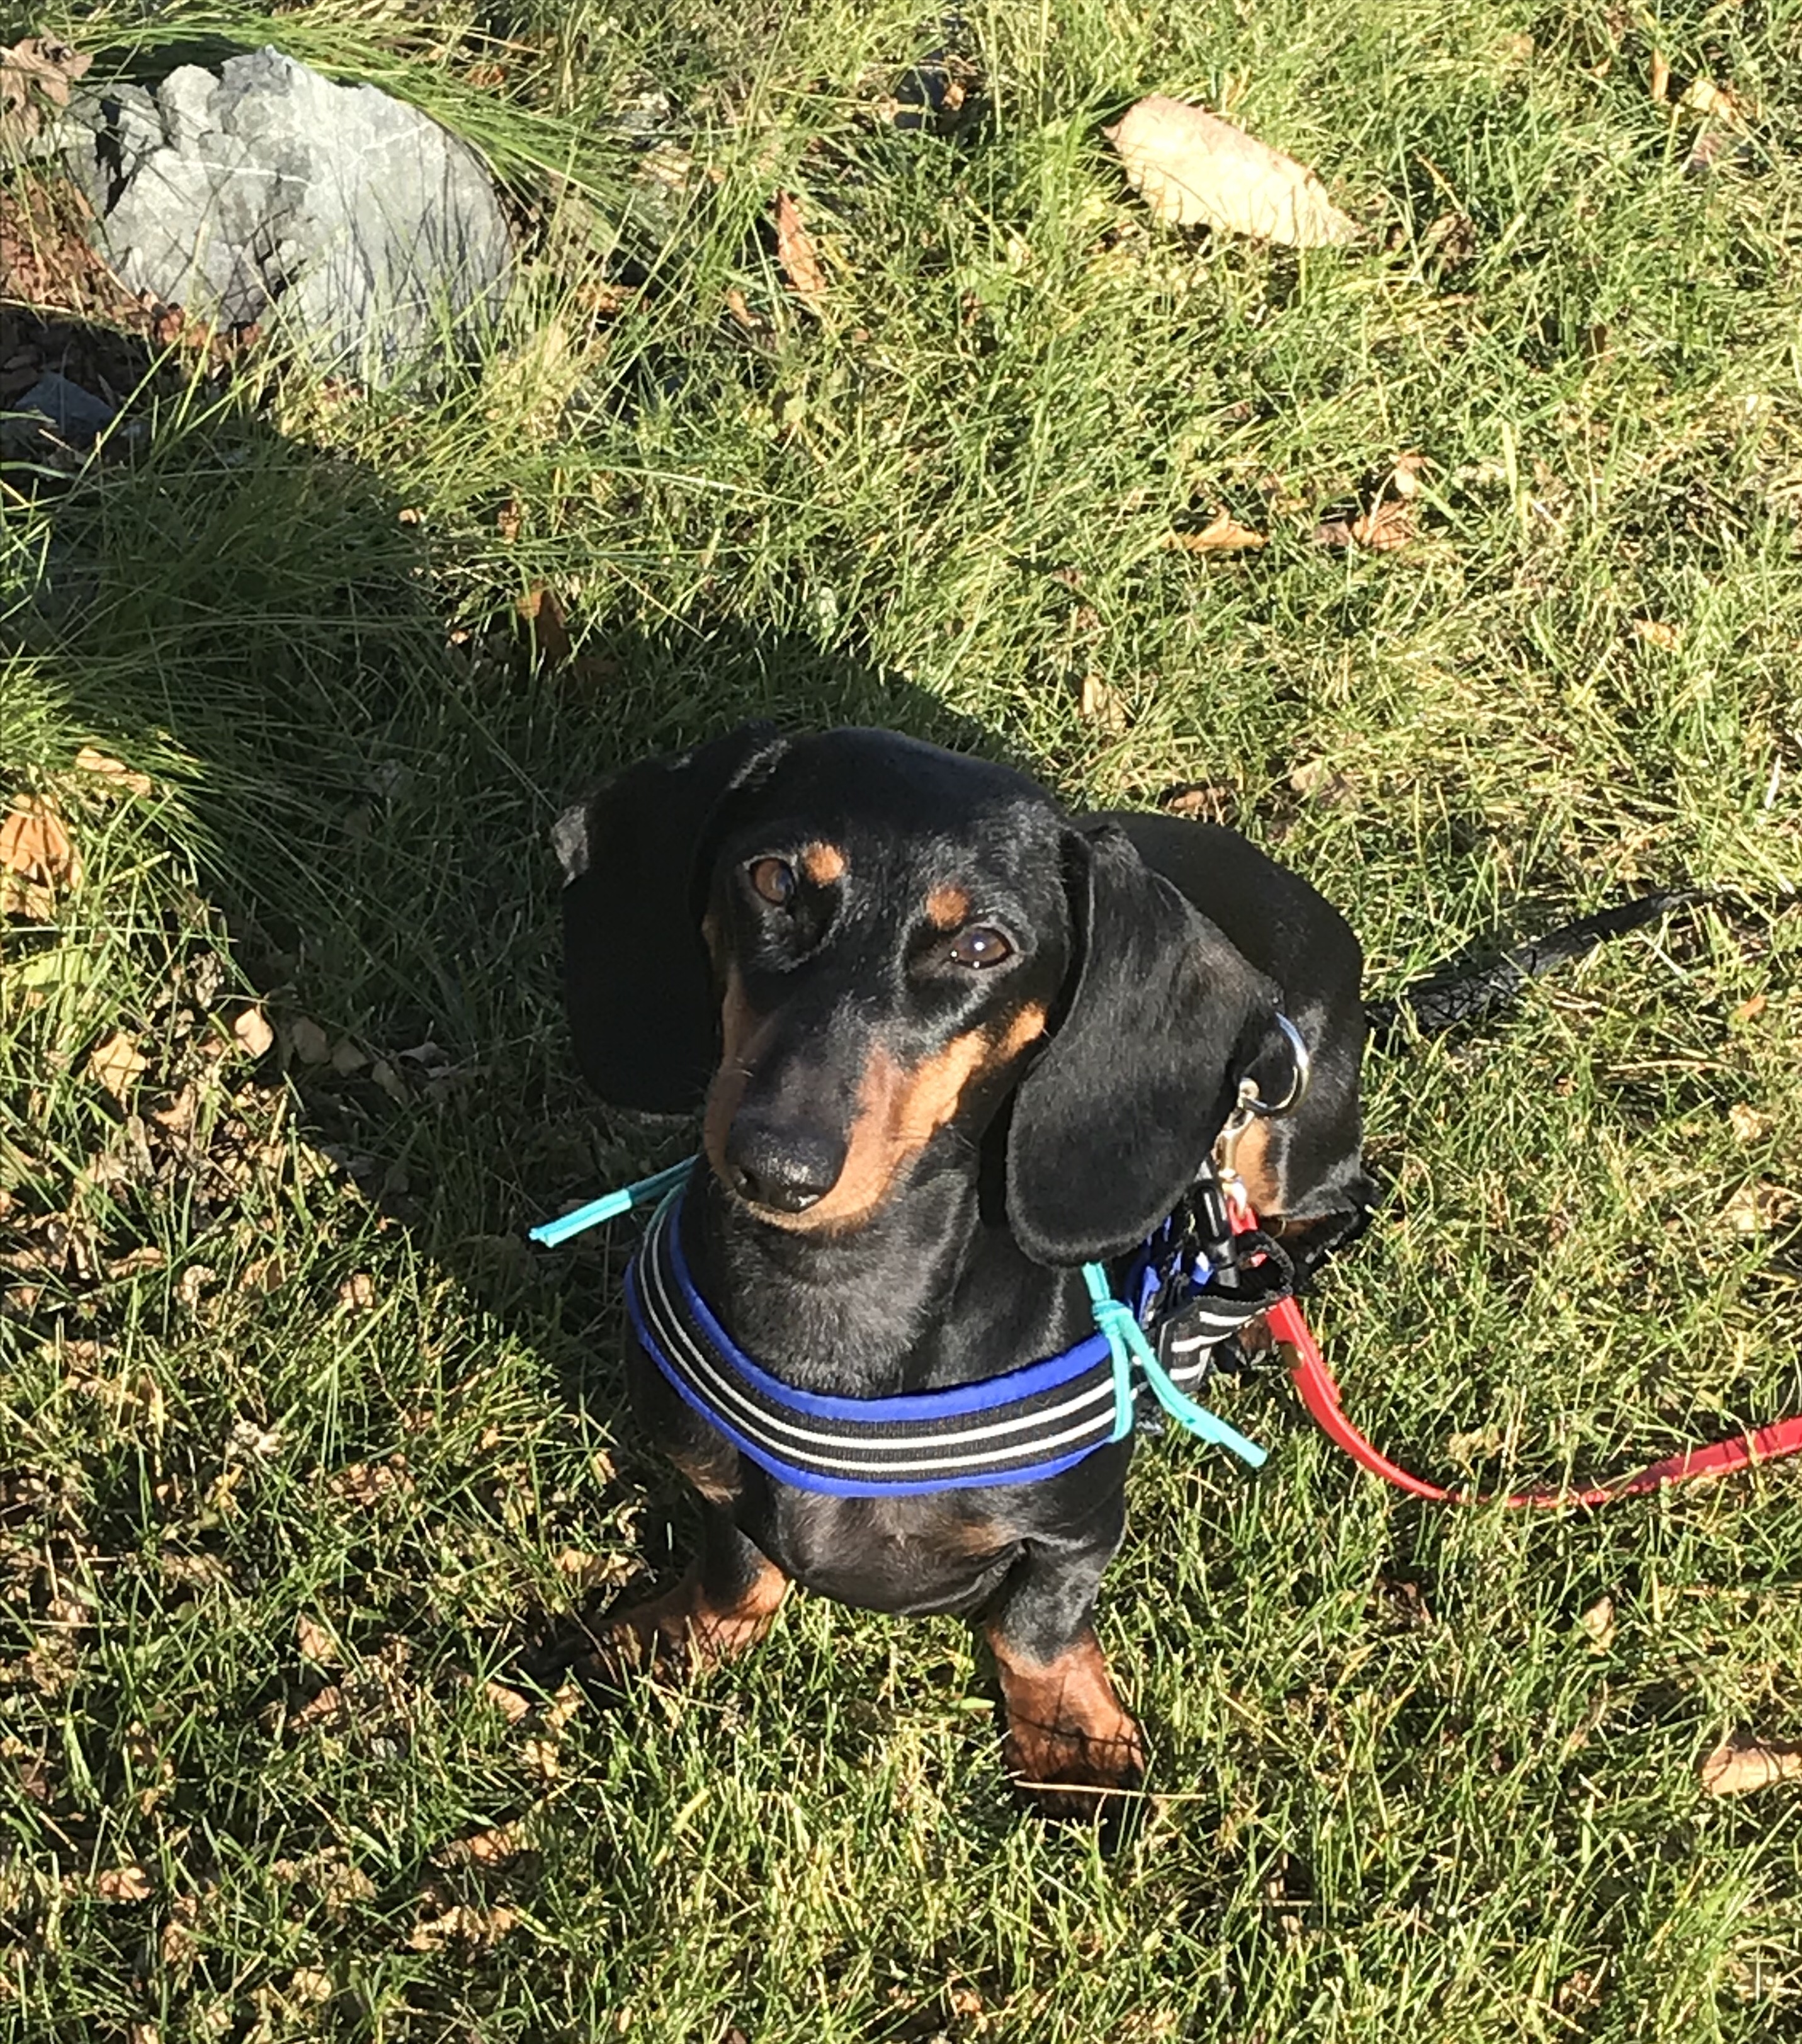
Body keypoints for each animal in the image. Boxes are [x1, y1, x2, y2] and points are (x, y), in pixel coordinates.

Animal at [552, 725, 1374, 1813]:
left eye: (981, 945)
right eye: (772, 880)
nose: (774, 1163)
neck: (835, 1286)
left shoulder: (1079, 1528)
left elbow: (1036, 1623)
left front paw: (1070, 1737)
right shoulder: (712, 1481)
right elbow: (738, 1557)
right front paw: (684, 1635)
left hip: (1279, 1119)